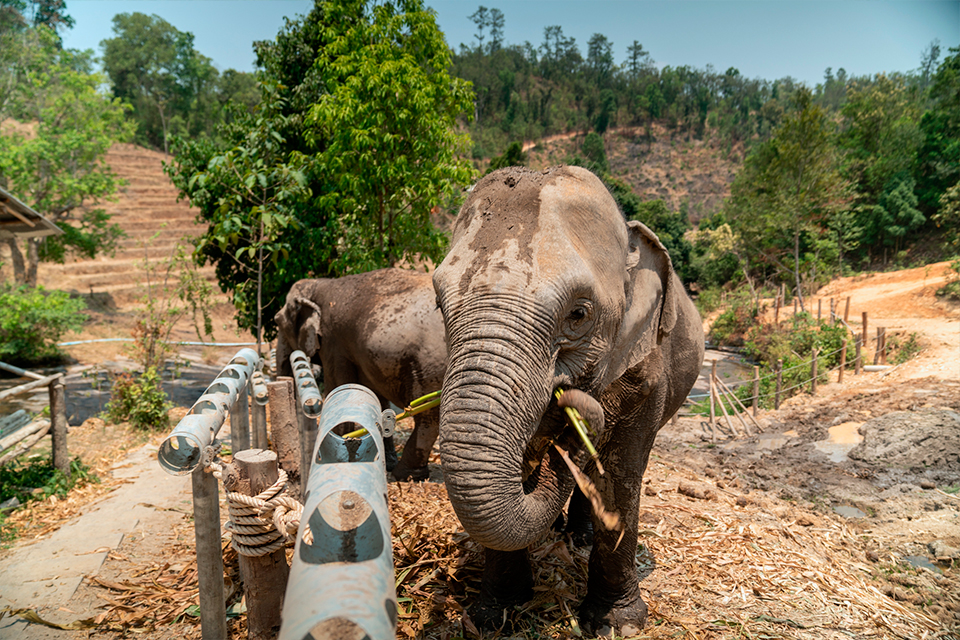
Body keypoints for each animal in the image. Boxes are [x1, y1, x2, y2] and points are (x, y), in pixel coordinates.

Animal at [274, 268, 446, 482]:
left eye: (277, 321)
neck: (319, 284)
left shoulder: (333, 342)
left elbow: (338, 387)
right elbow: (375, 398)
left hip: (429, 362)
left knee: (426, 416)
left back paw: (405, 475)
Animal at [436, 165, 704, 636]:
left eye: (579, 315)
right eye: (437, 304)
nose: (571, 405)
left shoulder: (648, 371)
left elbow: (621, 471)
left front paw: (618, 624)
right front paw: (492, 615)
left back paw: (580, 537)